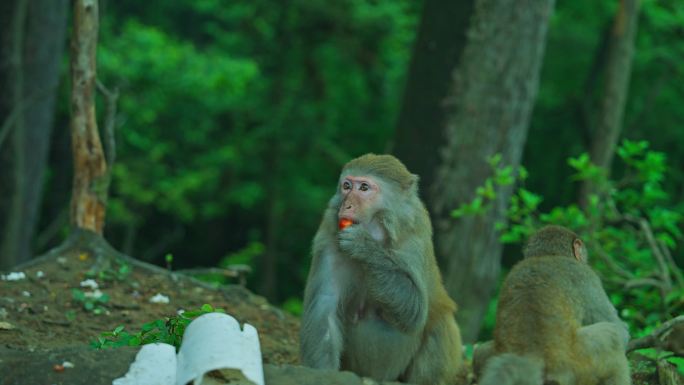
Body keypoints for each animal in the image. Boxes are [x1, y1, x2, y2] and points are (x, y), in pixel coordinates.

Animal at [300, 153, 464, 384]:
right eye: (346, 186)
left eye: (364, 188)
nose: (346, 206)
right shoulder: (330, 239)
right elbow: (326, 308)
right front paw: (324, 375)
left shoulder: (415, 238)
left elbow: (415, 310)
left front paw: (365, 247)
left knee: (440, 324)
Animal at [476, 224, 632, 384]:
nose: (583, 257)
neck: (548, 255)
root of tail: (529, 356)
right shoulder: (585, 276)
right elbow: (620, 330)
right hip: (577, 367)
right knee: (613, 337)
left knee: (479, 353)